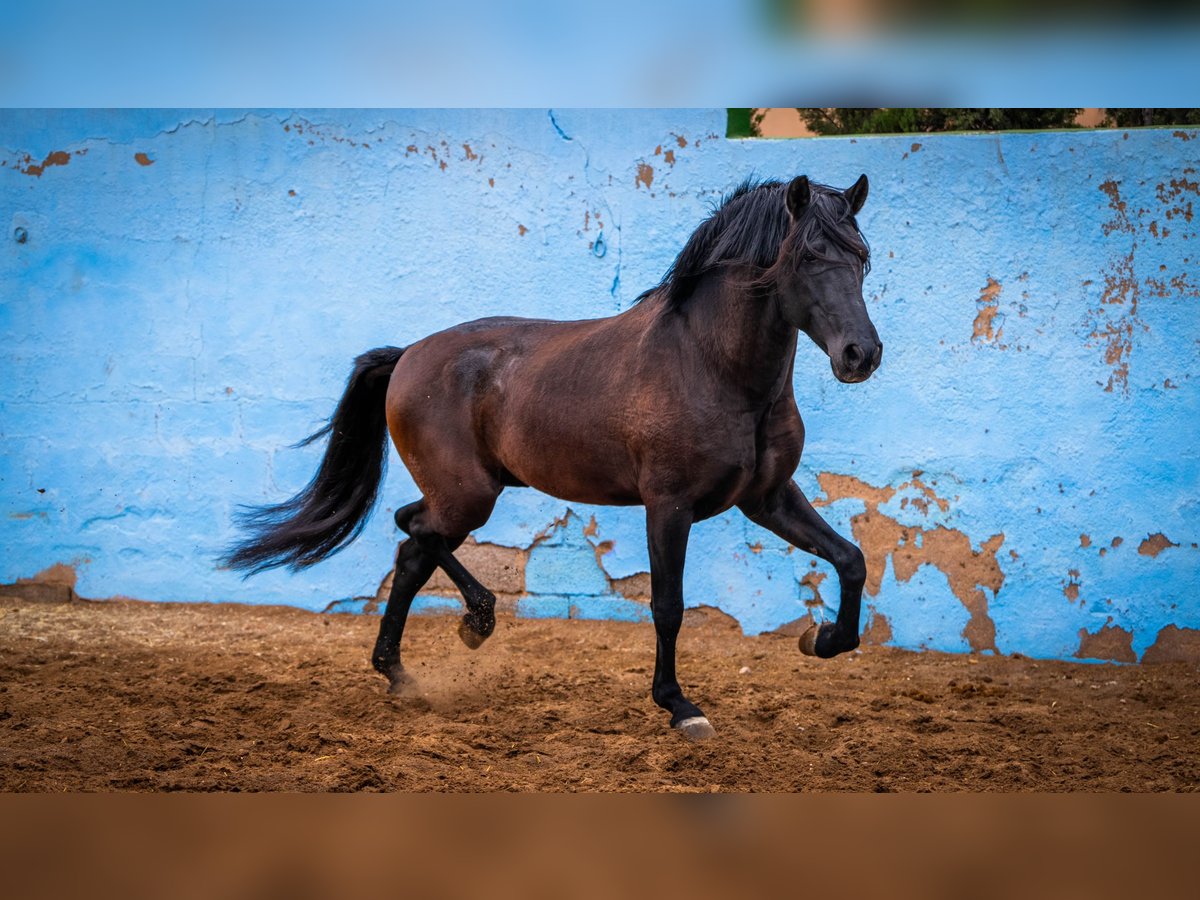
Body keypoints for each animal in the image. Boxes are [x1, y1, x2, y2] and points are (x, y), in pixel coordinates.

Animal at [225, 174, 883, 739]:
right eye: (807, 258)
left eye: (861, 258)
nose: (862, 354)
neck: (711, 367)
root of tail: (409, 354)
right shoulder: (667, 506)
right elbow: (668, 605)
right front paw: (680, 706)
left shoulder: (766, 499)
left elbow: (850, 560)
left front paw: (823, 639)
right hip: (468, 496)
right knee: (414, 532)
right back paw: (474, 623)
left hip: (465, 494)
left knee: (411, 547)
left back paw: (403, 671)